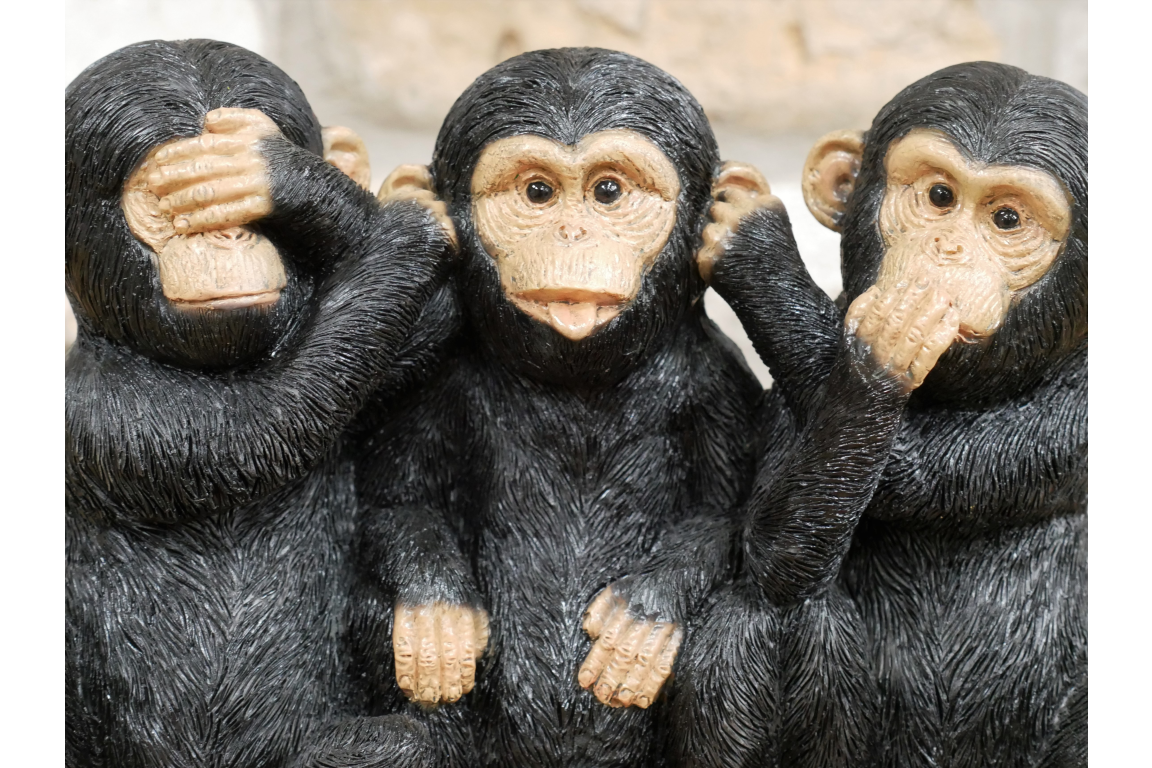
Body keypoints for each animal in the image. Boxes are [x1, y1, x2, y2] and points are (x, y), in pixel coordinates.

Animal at [65, 40, 457, 768]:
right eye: (168, 199)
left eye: (242, 208)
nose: (225, 235)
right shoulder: (107, 416)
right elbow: (269, 421)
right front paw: (404, 230)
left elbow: (438, 315)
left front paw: (296, 178)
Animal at [688, 61, 1088, 767]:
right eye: (939, 196)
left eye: (1007, 218)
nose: (946, 249)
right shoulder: (784, 409)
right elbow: (770, 546)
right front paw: (758, 247)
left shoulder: (1077, 414)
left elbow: (920, 474)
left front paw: (761, 256)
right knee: (779, 611)